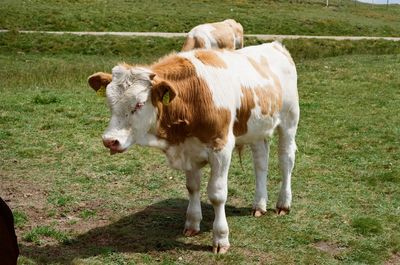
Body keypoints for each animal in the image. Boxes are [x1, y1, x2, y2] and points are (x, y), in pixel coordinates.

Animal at [88, 41, 300, 254]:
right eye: (109, 103)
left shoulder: (221, 149)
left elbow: (217, 195)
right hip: (257, 130)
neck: (193, 97)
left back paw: (283, 203)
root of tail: (275, 45)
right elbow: (192, 187)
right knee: (261, 164)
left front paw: (220, 238)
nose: (110, 140)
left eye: (139, 105)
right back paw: (259, 204)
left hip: (289, 120)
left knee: (286, 161)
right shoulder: (188, 150)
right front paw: (192, 224)